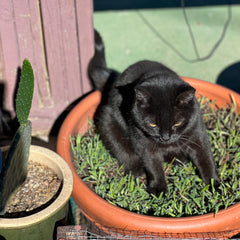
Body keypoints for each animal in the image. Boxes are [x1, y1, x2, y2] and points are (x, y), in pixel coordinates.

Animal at [88, 30, 219, 195]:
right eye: (152, 124)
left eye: (177, 123)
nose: (165, 137)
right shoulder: (145, 144)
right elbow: (153, 166)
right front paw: (158, 190)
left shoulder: (197, 134)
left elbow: (206, 159)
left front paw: (215, 186)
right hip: (108, 123)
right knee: (123, 151)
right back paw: (138, 172)